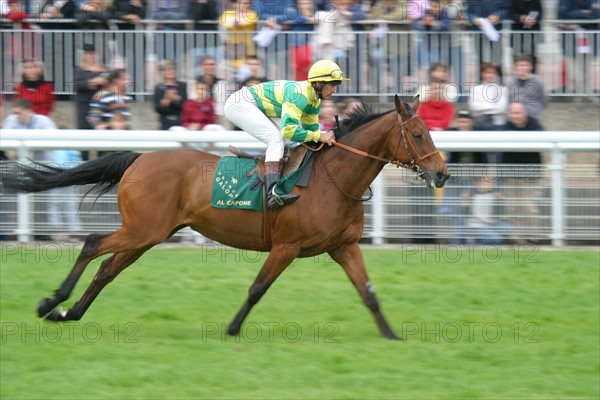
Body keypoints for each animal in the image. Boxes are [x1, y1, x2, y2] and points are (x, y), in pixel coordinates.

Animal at [2, 95, 448, 340]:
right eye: (419, 134)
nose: (442, 173)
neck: (332, 178)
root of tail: (139, 157)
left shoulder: (344, 246)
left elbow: (368, 292)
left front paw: (391, 335)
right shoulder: (287, 246)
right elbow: (257, 288)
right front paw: (233, 329)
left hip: (147, 234)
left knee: (107, 268)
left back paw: (69, 313)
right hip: (143, 229)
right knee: (93, 244)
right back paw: (52, 302)